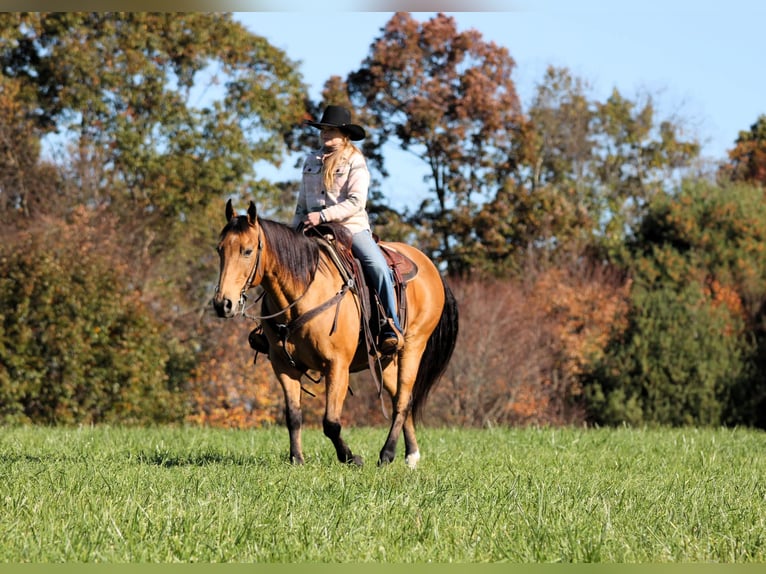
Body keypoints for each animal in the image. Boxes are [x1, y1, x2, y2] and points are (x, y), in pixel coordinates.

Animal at [212, 200, 458, 467]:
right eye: (219, 250)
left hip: (413, 347)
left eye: (247, 251)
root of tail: (430, 267)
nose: (223, 304)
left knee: (402, 401)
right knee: (402, 398)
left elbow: (331, 422)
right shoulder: (283, 366)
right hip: (386, 360)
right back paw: (411, 455)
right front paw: (297, 459)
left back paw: (387, 454)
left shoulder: (337, 365)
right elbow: (293, 416)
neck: (304, 292)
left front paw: (351, 458)